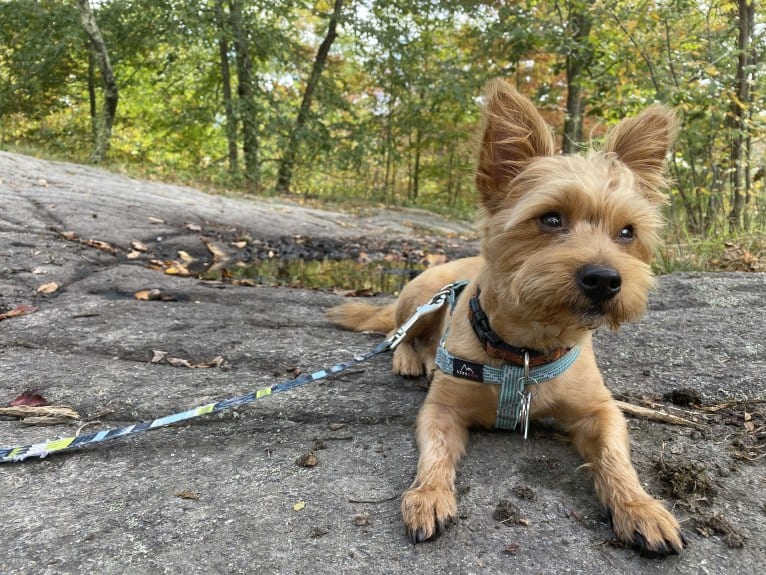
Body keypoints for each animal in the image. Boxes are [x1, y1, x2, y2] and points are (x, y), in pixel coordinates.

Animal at [328, 79, 688, 556]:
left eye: (627, 232)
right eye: (550, 219)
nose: (605, 280)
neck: (525, 350)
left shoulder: (601, 411)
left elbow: (616, 459)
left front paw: (639, 506)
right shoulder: (441, 409)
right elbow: (435, 452)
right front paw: (428, 494)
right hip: (423, 296)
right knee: (400, 332)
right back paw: (409, 358)